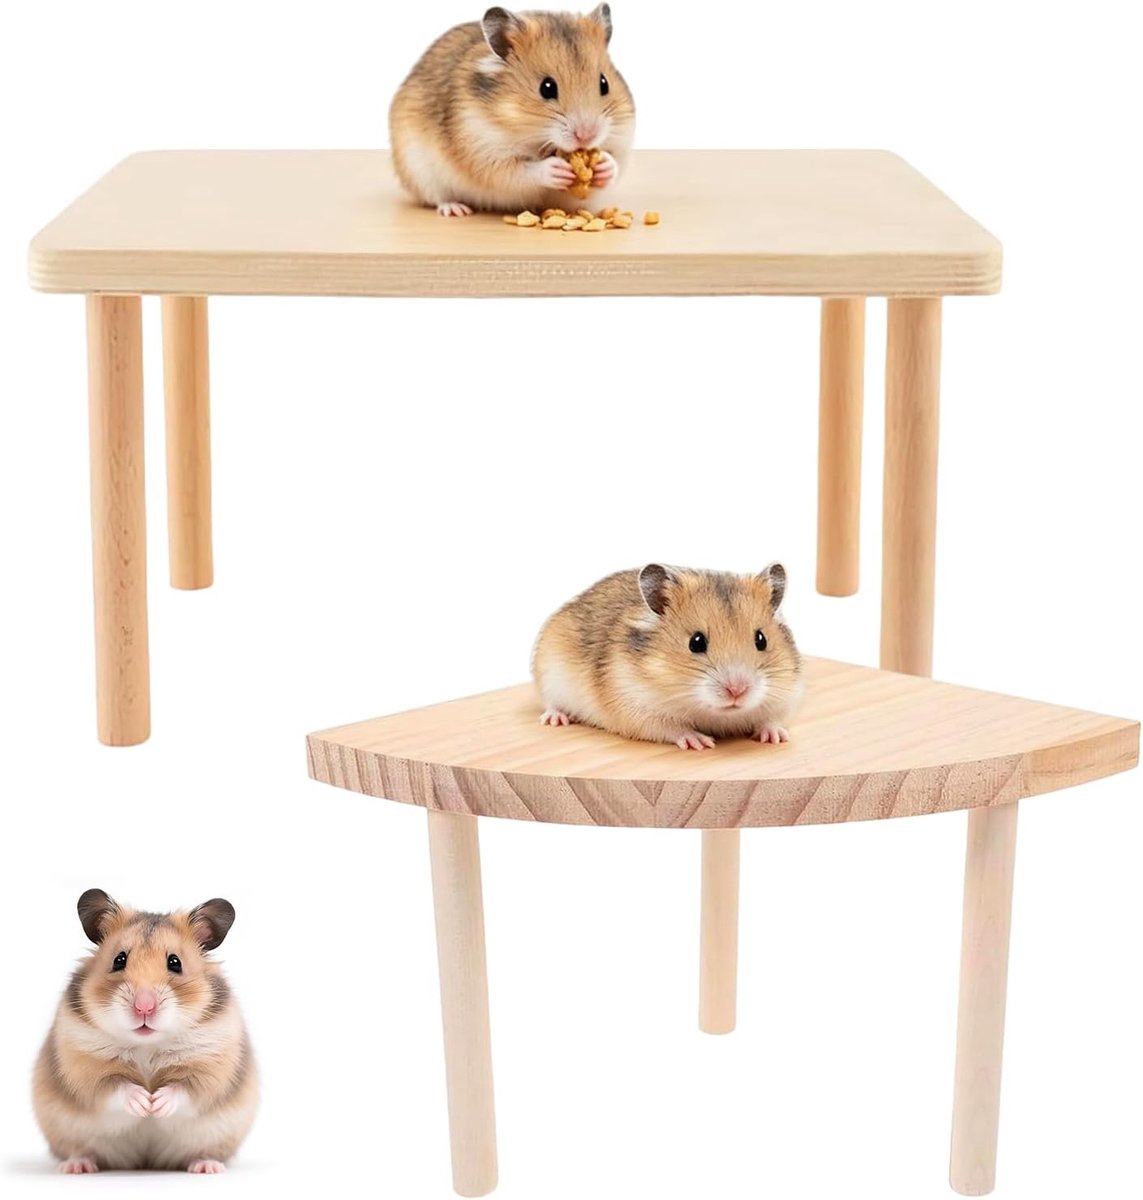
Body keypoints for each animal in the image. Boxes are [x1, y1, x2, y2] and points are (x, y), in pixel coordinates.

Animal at [33, 889, 257, 1175]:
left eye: (175, 963)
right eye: (119, 960)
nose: (144, 1007)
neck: (147, 1044)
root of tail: (145, 1161)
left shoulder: (211, 1068)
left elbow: (185, 1088)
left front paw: (156, 1104)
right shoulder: (83, 1066)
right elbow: (113, 1085)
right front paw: (144, 1104)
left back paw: (207, 1166)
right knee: (81, 1149)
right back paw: (77, 1166)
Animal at [390, 5, 635, 216]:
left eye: (604, 83)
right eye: (547, 88)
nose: (587, 136)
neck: (535, 137)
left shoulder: (622, 139)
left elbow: (616, 162)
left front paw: (604, 165)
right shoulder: (482, 150)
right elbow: (520, 171)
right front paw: (556, 169)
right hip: (418, 170)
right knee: (437, 198)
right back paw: (457, 210)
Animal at [532, 564, 804, 750]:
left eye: (761, 639)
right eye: (696, 642)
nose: (738, 691)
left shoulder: (786, 695)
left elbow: (772, 719)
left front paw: (776, 737)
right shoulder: (635, 706)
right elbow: (672, 728)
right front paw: (701, 742)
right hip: (548, 673)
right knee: (550, 703)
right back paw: (557, 719)